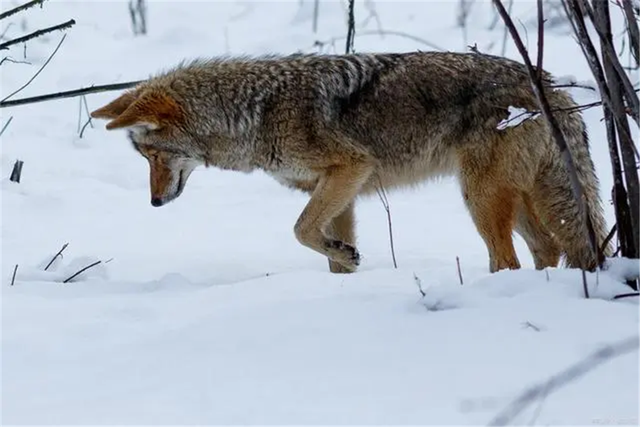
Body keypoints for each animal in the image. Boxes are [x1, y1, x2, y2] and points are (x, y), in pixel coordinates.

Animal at [90, 51, 608, 274]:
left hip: (480, 199)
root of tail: (553, 88)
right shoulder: (341, 193)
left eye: (154, 155)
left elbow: (299, 230)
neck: (255, 112)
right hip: (515, 199)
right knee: (549, 249)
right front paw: (345, 272)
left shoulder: (350, 170)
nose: (155, 204)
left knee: (510, 259)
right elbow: (325, 247)